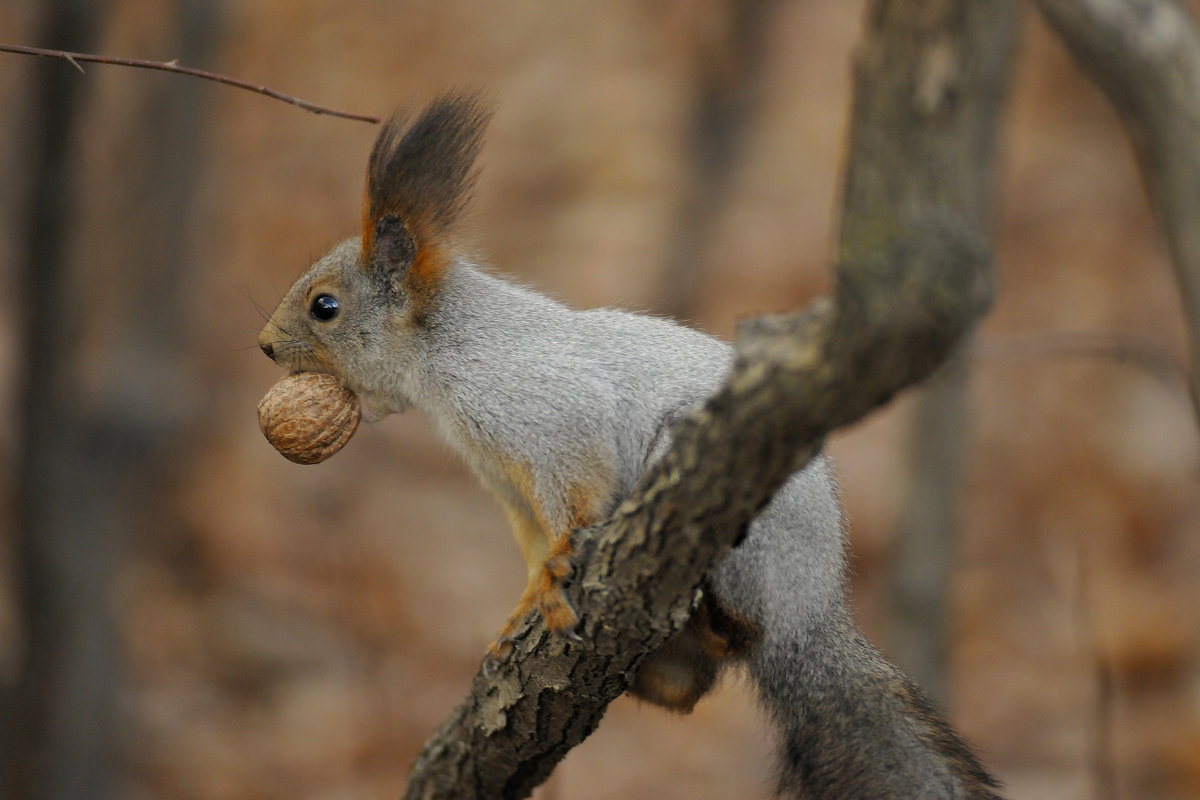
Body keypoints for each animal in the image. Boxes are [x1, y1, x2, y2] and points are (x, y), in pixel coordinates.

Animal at [260, 94, 1003, 800]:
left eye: (324, 307)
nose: (264, 345)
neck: (447, 351)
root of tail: (811, 608)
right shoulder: (507, 485)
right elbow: (533, 540)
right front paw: (521, 606)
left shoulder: (551, 419)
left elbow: (575, 495)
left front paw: (557, 573)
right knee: (690, 689)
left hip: (748, 543)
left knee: (741, 632)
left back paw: (719, 615)